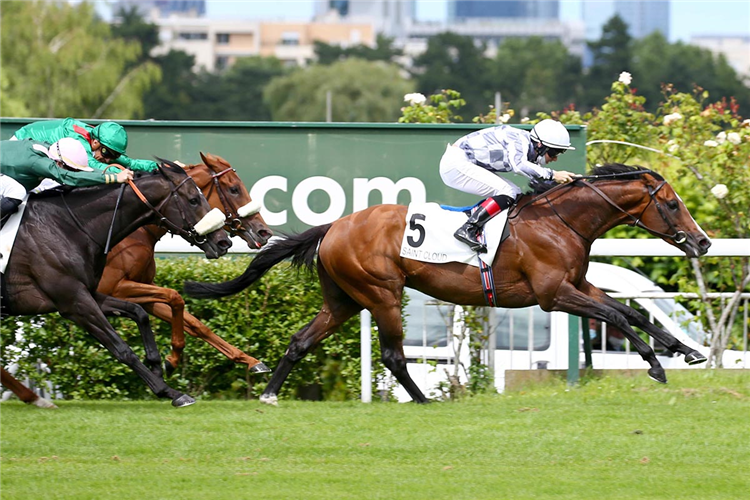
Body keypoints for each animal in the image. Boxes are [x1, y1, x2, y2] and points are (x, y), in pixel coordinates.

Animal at [0, 162, 232, 408]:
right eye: (193, 200)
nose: (224, 242)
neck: (67, 226)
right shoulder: (75, 302)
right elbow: (122, 348)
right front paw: (170, 391)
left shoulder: (91, 293)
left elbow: (139, 312)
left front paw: (158, 366)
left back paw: (35, 398)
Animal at [96, 152, 274, 376]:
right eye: (234, 189)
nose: (264, 232)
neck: (138, 231)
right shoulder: (113, 288)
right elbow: (175, 297)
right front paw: (172, 358)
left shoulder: (141, 289)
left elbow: (195, 323)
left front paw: (250, 360)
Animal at [185, 165, 712, 406]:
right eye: (671, 204)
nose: (702, 241)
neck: (561, 221)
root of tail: (334, 225)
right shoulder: (553, 296)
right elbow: (618, 315)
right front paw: (655, 364)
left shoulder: (578, 283)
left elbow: (632, 311)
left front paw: (686, 351)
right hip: (382, 293)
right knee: (394, 355)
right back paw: (424, 400)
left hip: (344, 299)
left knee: (299, 341)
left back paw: (271, 393)